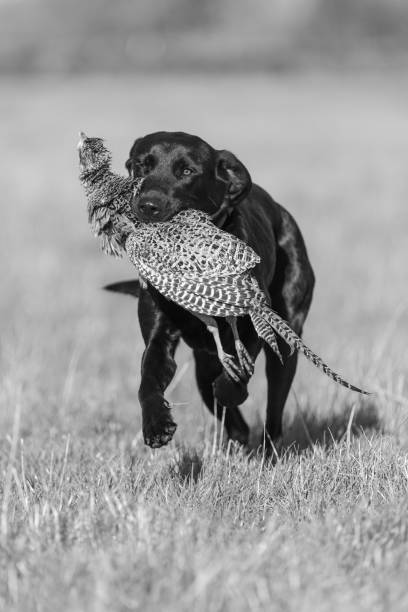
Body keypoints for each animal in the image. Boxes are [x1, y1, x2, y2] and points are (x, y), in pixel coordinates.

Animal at [107, 131, 314, 450]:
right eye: (141, 165)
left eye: (187, 171)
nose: (148, 205)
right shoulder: (159, 338)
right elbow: (148, 380)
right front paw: (156, 424)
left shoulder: (253, 322)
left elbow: (239, 369)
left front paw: (231, 389)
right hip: (202, 366)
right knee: (229, 413)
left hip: (287, 336)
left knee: (274, 410)